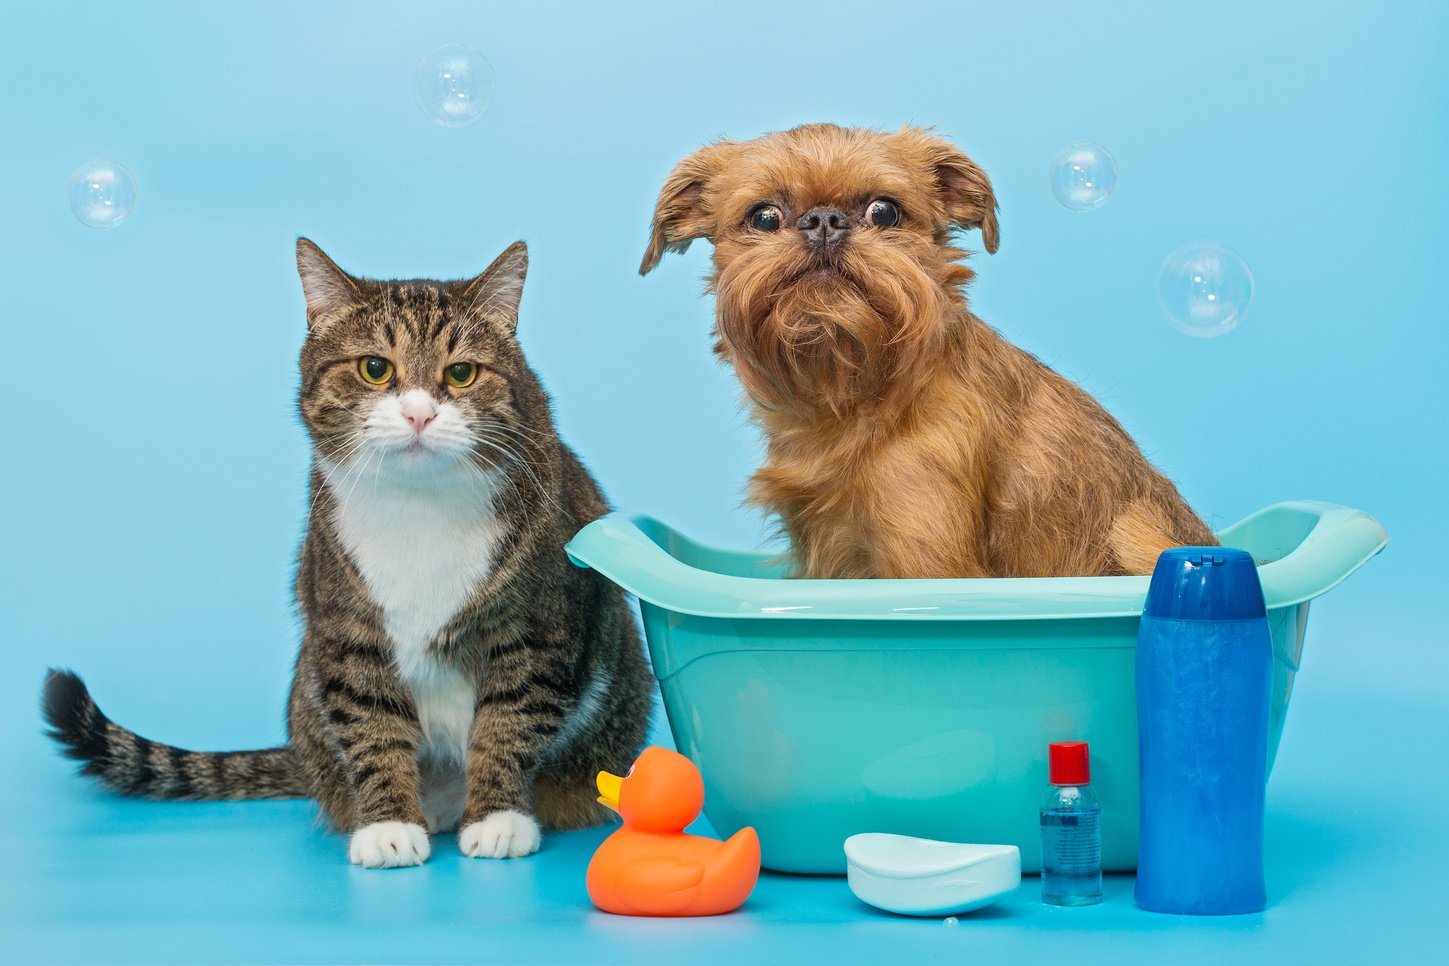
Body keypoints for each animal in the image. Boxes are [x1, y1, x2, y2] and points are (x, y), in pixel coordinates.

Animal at [41, 236, 652, 868]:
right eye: (375, 368)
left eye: (461, 373)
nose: (418, 412)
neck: (421, 509)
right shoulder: (346, 626)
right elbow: (372, 725)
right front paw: (388, 825)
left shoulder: (536, 631)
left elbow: (509, 724)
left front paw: (497, 818)